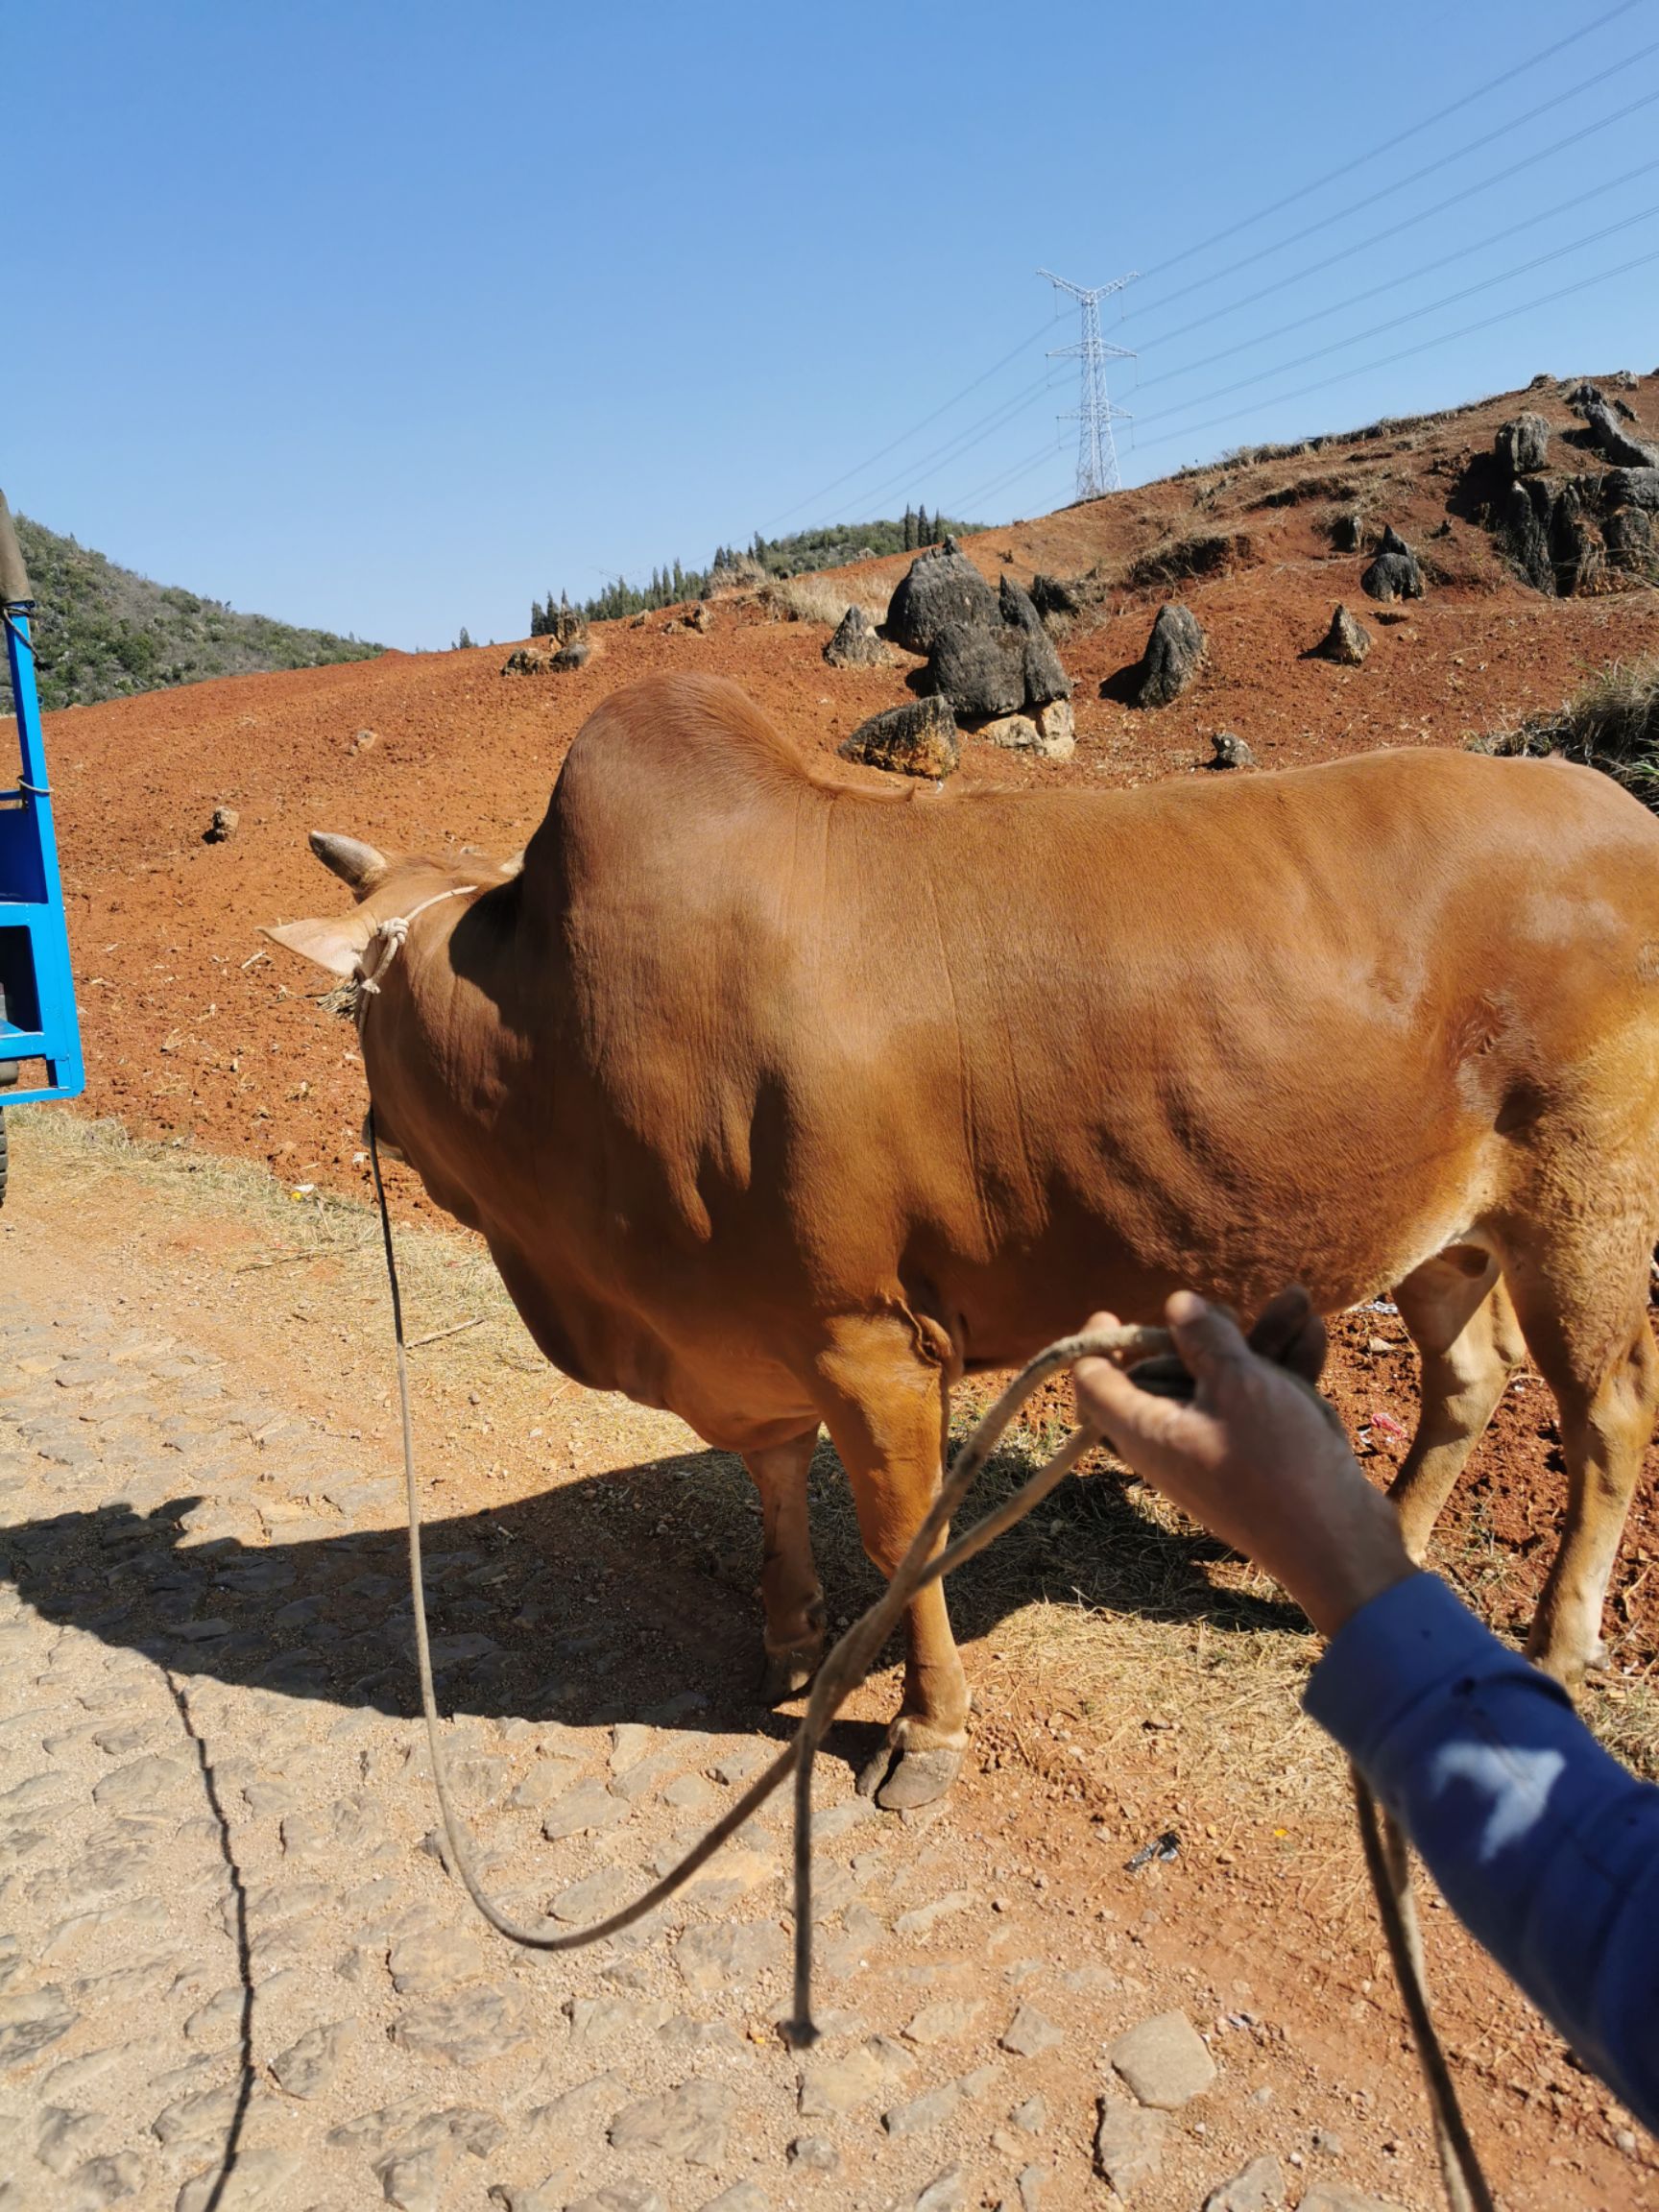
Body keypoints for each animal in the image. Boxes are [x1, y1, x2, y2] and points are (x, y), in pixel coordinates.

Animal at [266, 667, 1659, 1795]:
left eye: (350, 1010)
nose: (371, 1125)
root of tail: (1619, 808)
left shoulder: (866, 1341)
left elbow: (902, 1540)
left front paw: (922, 1730)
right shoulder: (753, 1341)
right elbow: (774, 1481)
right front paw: (787, 1632)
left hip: (1588, 1202)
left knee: (1606, 1413)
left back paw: (1559, 1640)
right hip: (1439, 1229)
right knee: (1470, 1375)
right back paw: (1385, 1566)